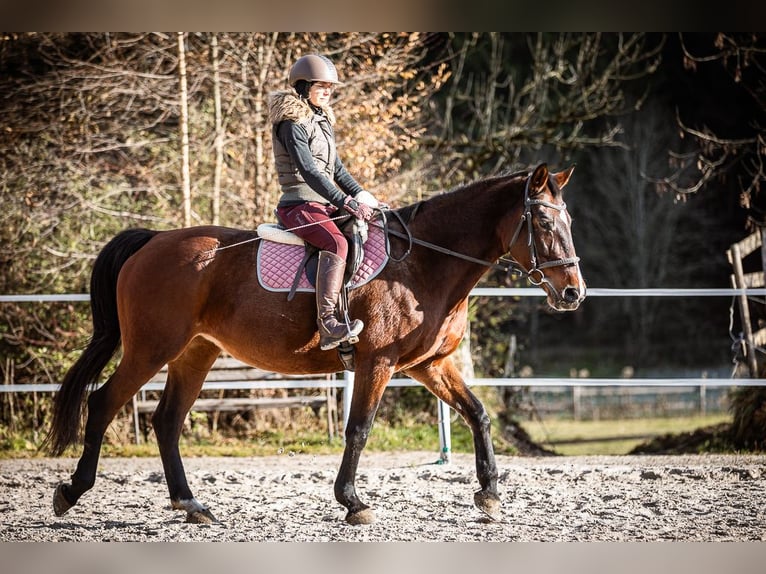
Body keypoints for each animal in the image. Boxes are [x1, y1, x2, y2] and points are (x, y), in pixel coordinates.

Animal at [45, 162, 588, 528]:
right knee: (104, 403)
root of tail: (153, 240)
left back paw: (191, 504)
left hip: (194, 353)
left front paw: (490, 493)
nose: (573, 293)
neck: (424, 263)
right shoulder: (378, 362)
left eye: (569, 222)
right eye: (543, 223)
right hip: (150, 348)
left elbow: (477, 413)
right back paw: (72, 491)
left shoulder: (429, 364)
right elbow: (359, 429)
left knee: (166, 421)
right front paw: (353, 502)